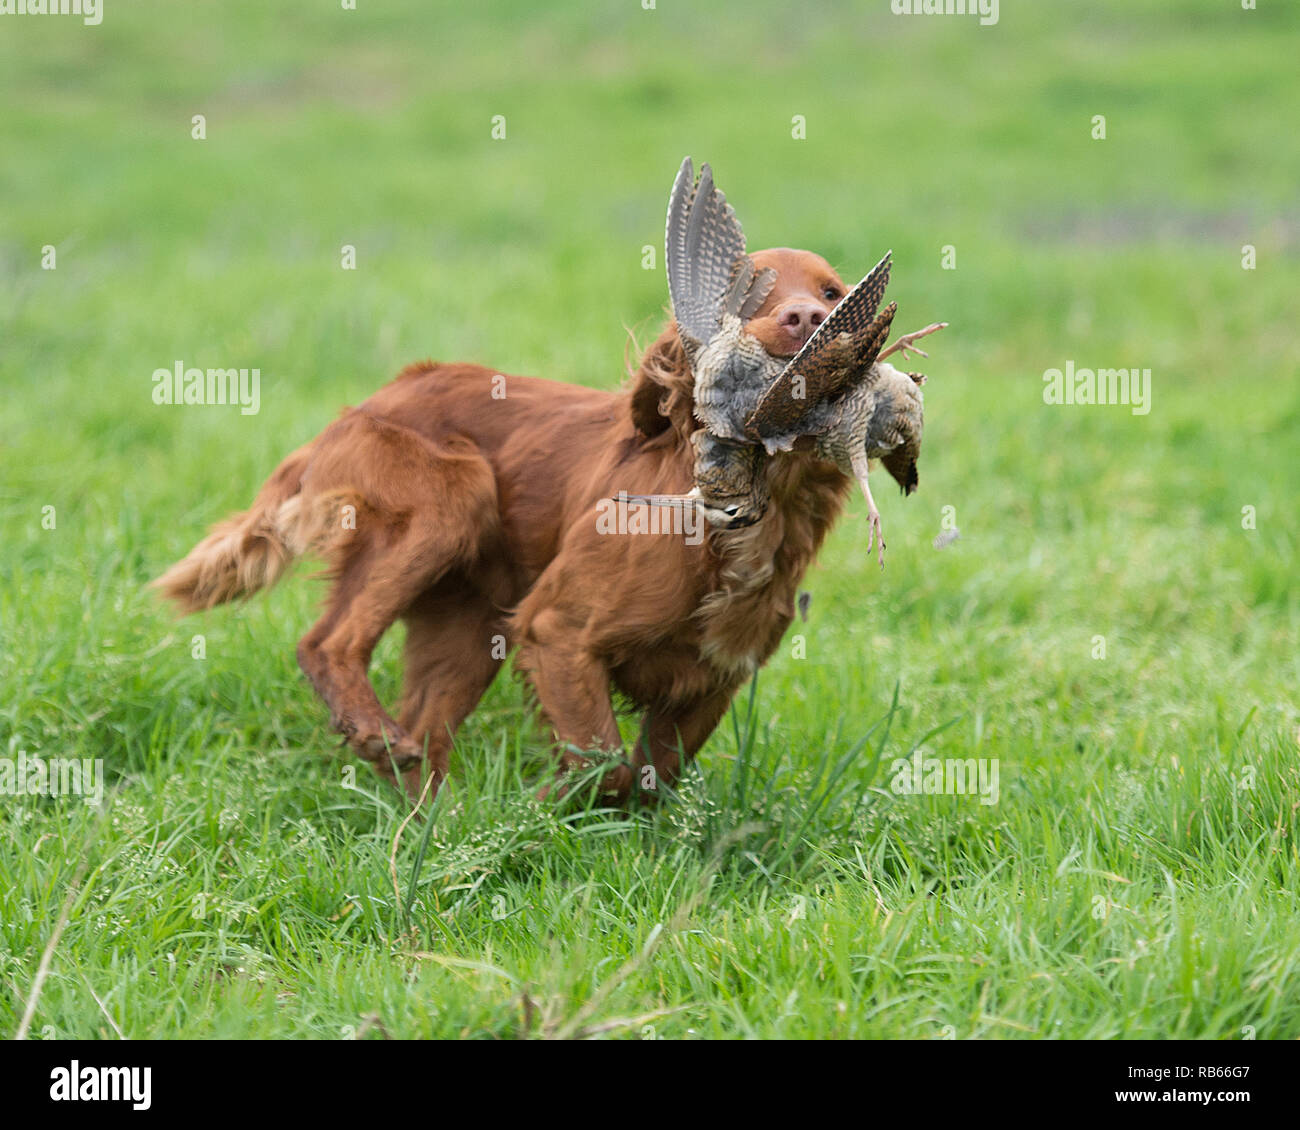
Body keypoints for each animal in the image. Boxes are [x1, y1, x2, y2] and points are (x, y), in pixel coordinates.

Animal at [152, 249, 857, 801]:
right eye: (749, 289)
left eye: (832, 293)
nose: (807, 319)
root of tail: (370, 400)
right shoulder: (557, 631)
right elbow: (604, 763)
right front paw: (548, 804)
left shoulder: (713, 678)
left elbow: (650, 781)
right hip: (454, 496)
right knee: (327, 643)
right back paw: (373, 735)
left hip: (467, 624)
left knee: (423, 734)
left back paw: (439, 825)